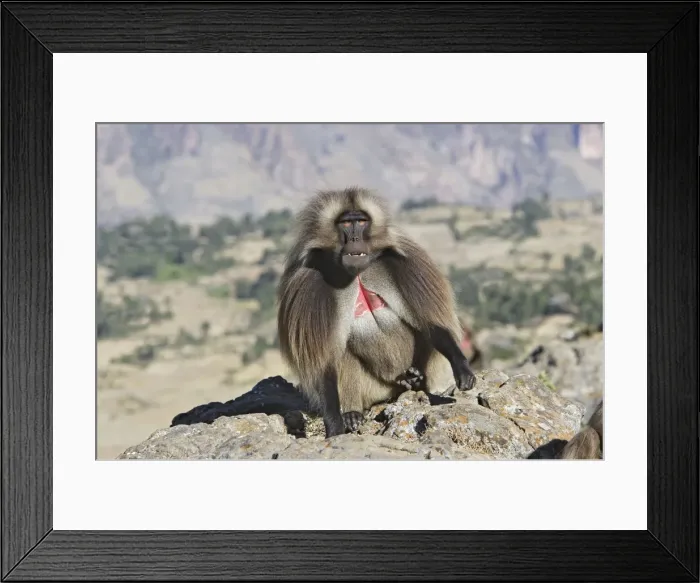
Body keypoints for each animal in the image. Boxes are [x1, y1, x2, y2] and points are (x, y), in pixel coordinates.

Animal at [277, 187, 476, 439]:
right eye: (345, 223)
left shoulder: (407, 262)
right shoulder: (309, 283)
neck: (356, 272)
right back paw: (352, 413)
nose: (354, 239)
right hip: (374, 389)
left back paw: (415, 381)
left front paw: (462, 368)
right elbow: (324, 362)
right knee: (342, 353)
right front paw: (335, 423)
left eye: (361, 222)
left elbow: (431, 325)